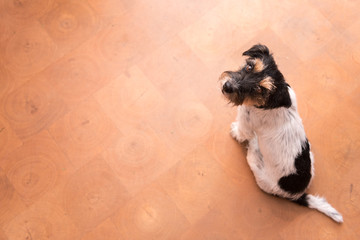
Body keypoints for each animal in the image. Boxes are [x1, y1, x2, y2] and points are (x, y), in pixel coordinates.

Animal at [219, 44, 344, 222]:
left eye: (259, 89)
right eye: (249, 66)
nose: (227, 86)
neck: (268, 104)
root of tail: (298, 195)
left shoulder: (246, 122)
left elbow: (241, 131)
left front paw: (234, 131)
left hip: (256, 164)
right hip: (311, 155)